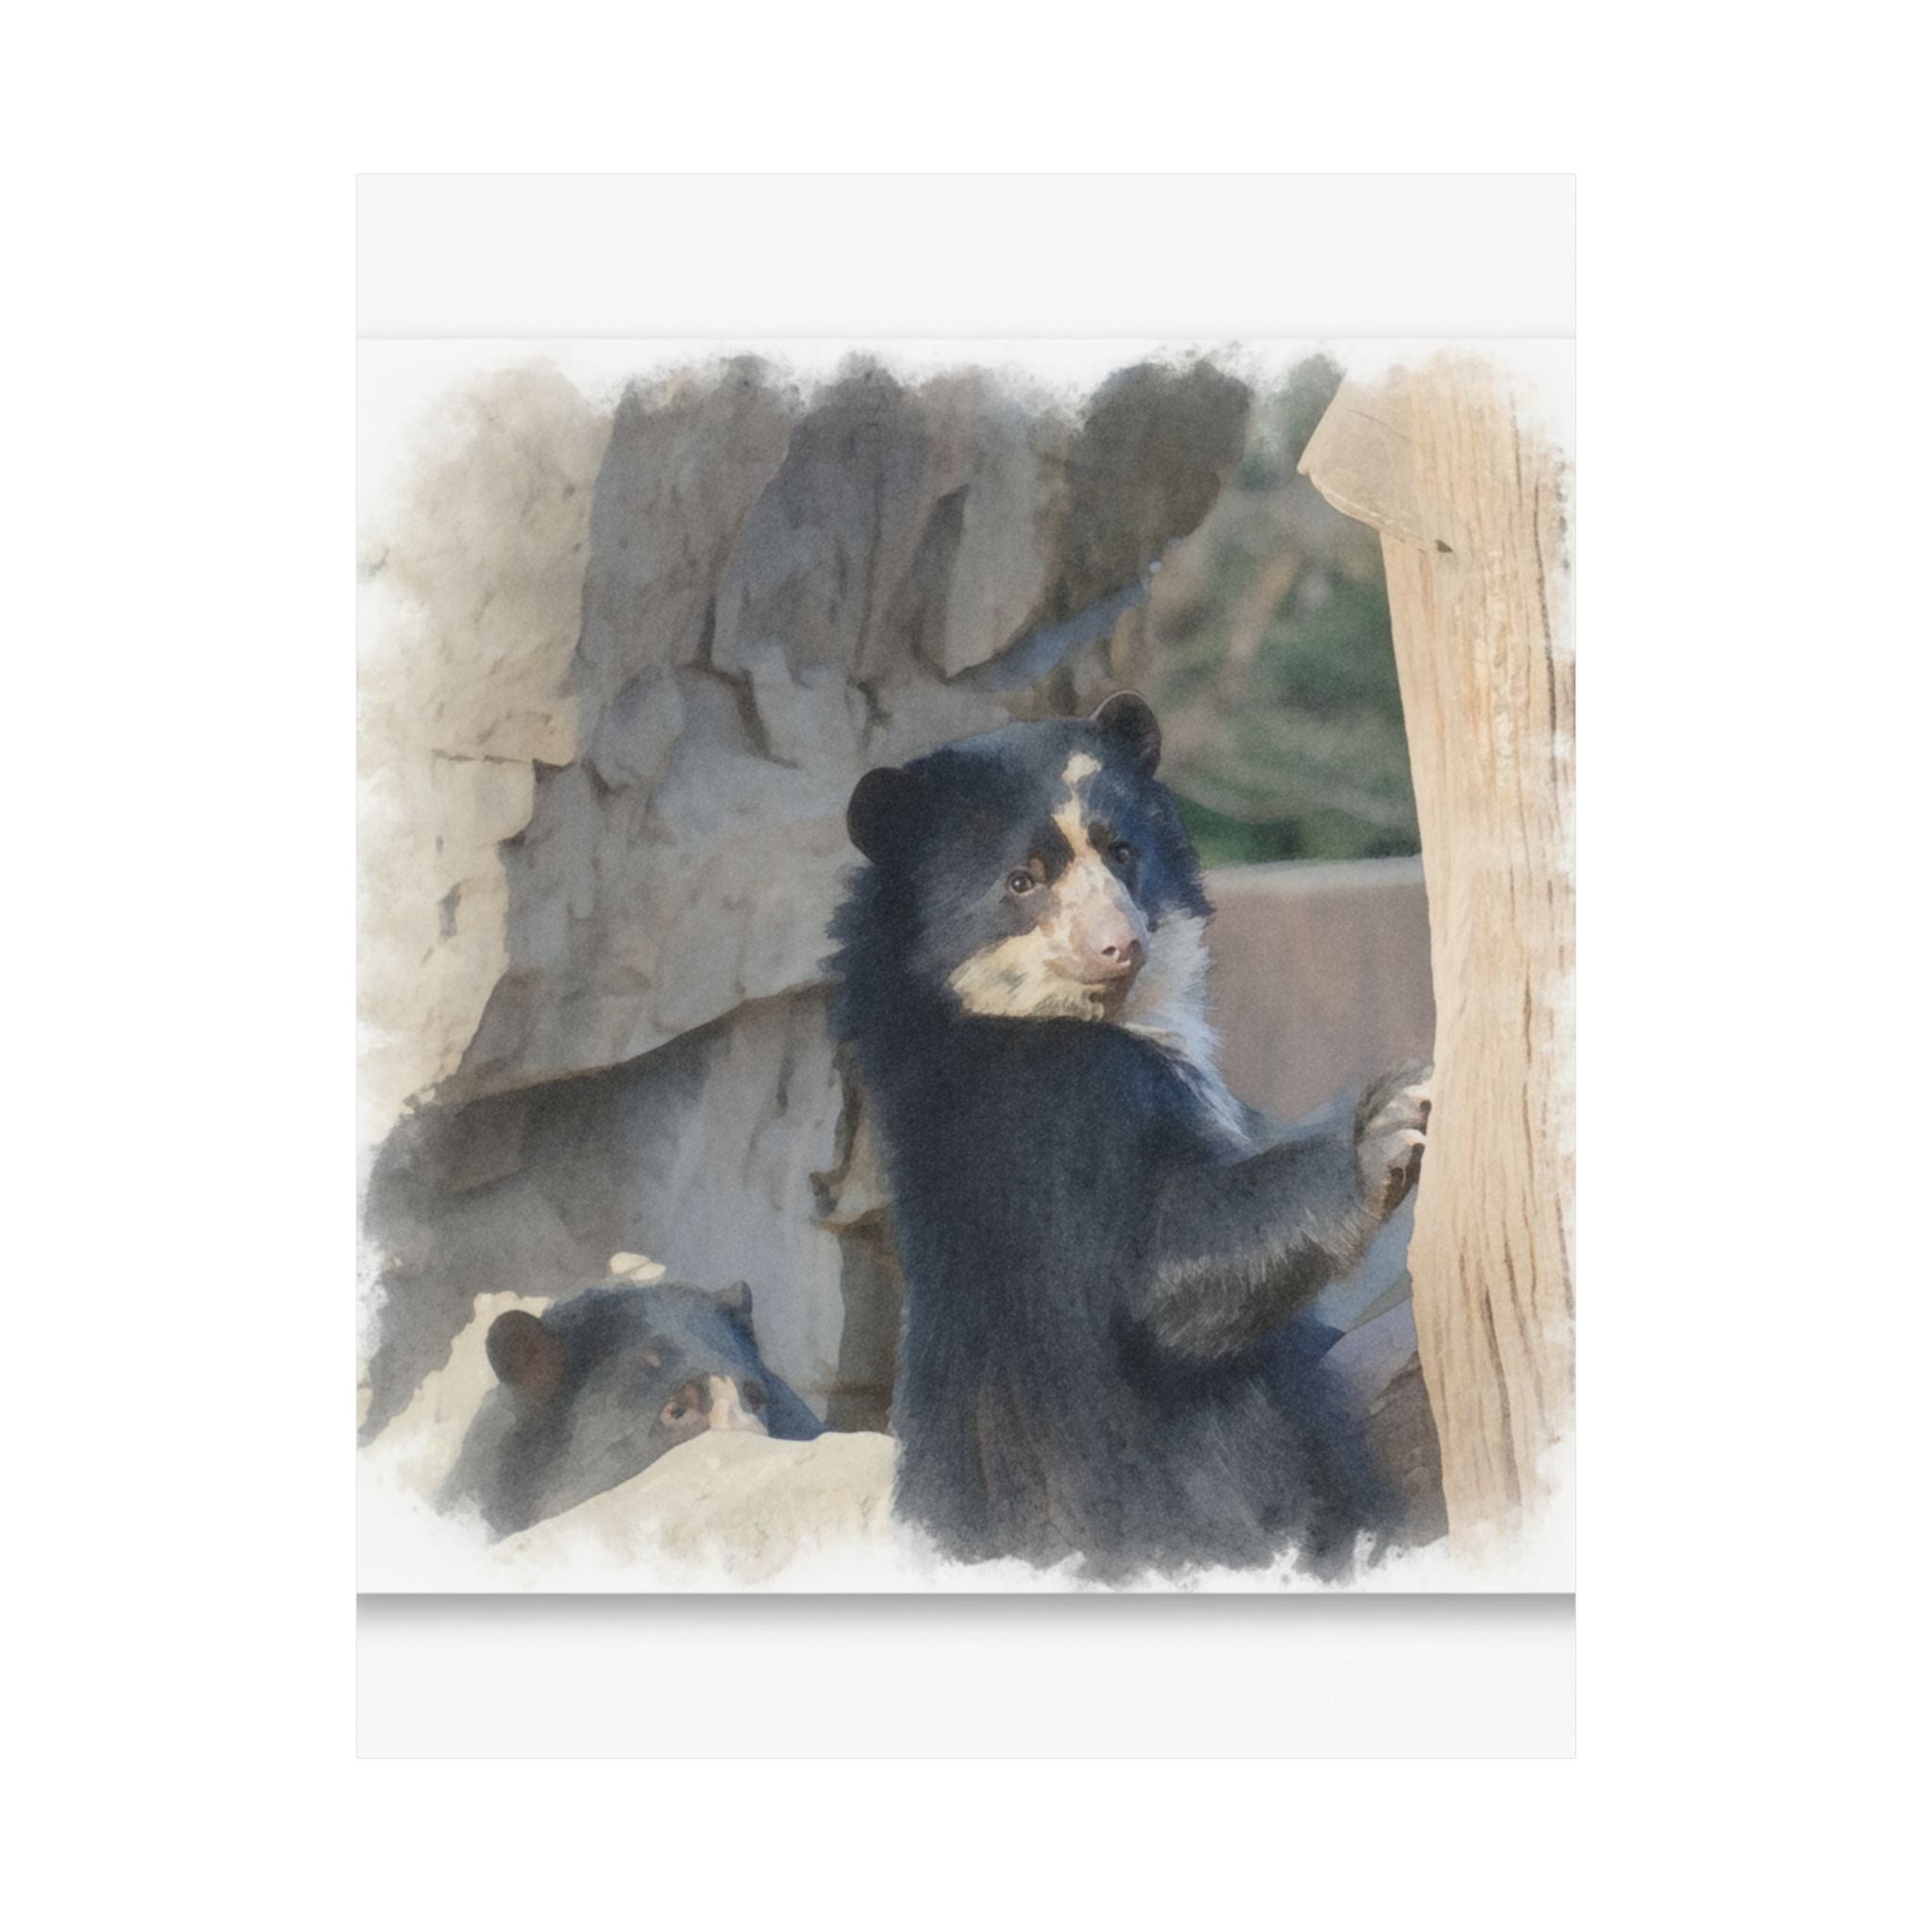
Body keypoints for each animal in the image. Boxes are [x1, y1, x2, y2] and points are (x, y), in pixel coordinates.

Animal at [828, 691, 1429, 1578]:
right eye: (1023, 880)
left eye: (1122, 852)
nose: (1119, 946)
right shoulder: (1063, 1115)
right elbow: (1166, 1265)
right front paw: (1391, 1122)